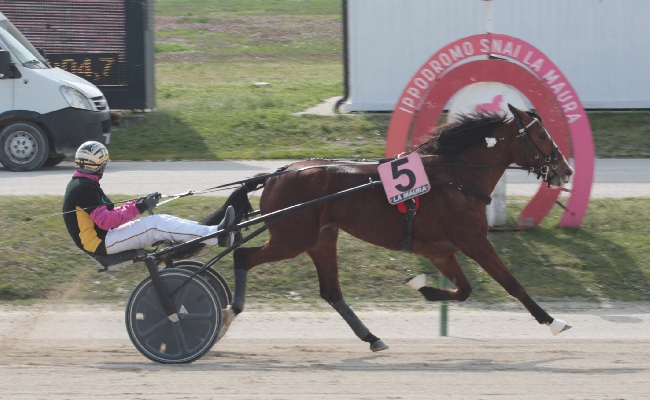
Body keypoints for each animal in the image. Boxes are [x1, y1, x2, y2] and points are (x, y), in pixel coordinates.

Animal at [199, 104, 572, 352]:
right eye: (541, 134)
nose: (565, 170)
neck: (456, 177)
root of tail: (277, 174)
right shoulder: (474, 241)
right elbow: (512, 284)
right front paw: (554, 322)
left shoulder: (440, 250)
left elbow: (464, 289)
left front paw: (422, 287)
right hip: (292, 238)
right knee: (244, 257)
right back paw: (229, 313)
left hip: (321, 238)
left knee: (331, 292)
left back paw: (372, 338)